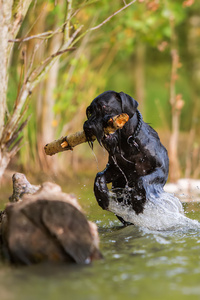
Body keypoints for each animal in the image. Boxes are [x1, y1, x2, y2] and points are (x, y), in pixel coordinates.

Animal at [83, 90, 169, 224]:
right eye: (90, 110)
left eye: (104, 106)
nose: (88, 127)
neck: (128, 142)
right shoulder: (116, 170)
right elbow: (99, 176)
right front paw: (102, 197)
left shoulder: (161, 170)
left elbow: (141, 180)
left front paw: (138, 202)